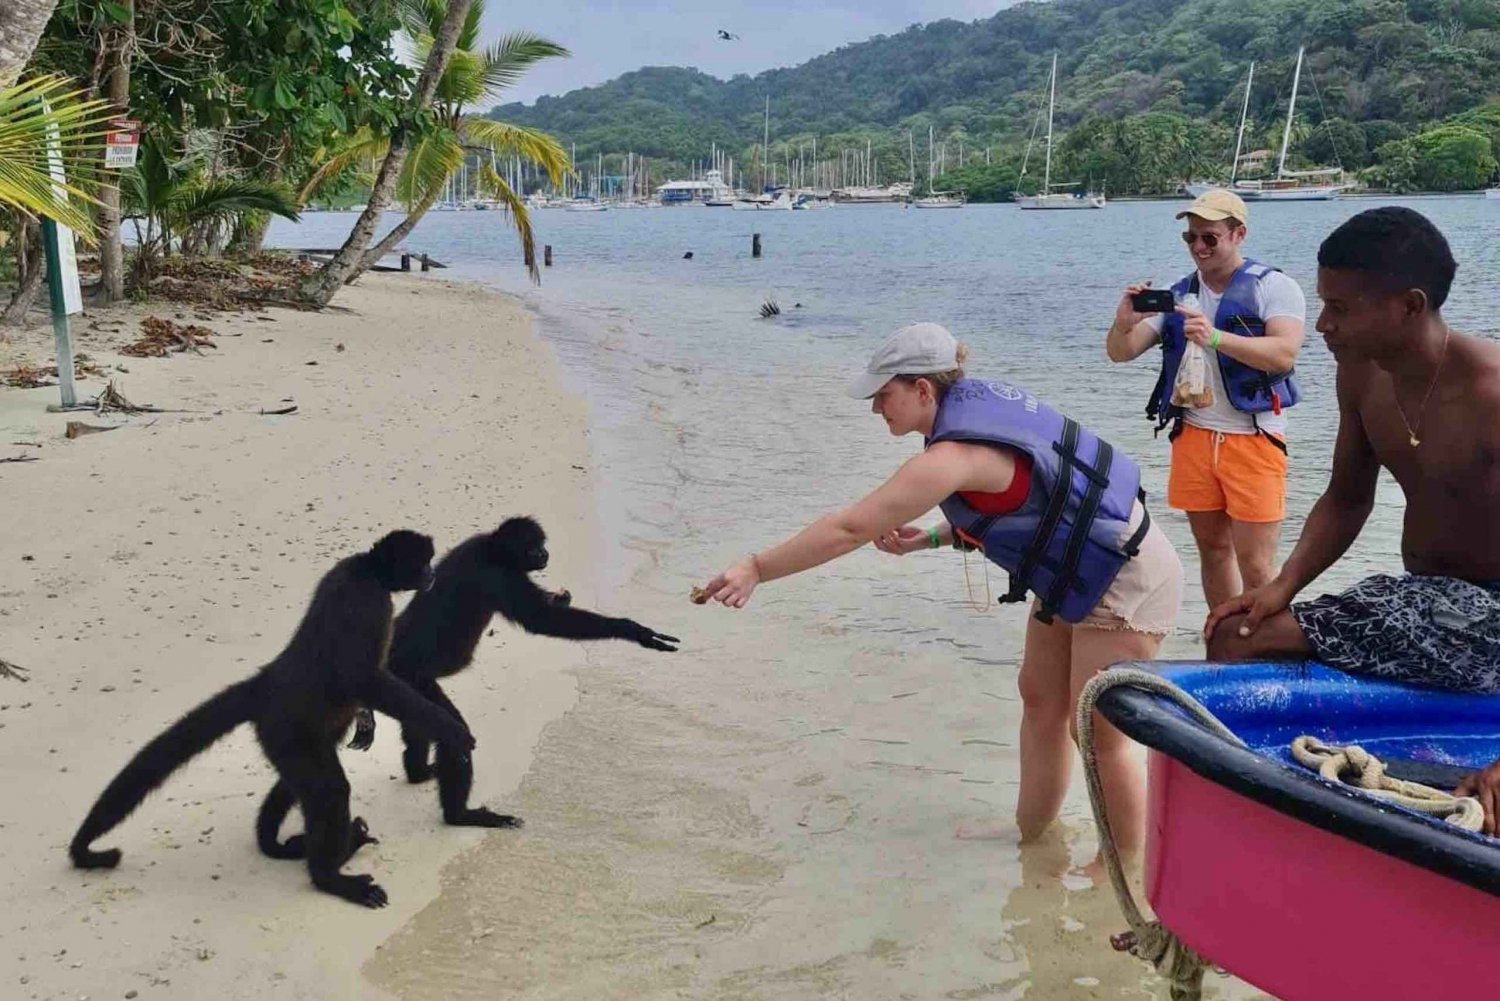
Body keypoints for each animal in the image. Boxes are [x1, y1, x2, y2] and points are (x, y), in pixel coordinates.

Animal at [69, 531, 474, 906]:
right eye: (424, 562)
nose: (431, 574)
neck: (367, 569)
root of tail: (269, 682)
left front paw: (368, 720)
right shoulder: (367, 603)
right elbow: (361, 677)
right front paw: (451, 730)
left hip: (296, 736)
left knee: (298, 784)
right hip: (285, 730)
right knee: (329, 791)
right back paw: (329, 878)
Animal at [337, 516, 678, 828]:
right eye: (536, 547)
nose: (545, 555)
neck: (490, 548)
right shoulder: (499, 575)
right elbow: (541, 619)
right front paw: (630, 630)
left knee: (419, 727)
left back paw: (419, 773)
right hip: (412, 677)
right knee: (453, 733)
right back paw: (460, 816)